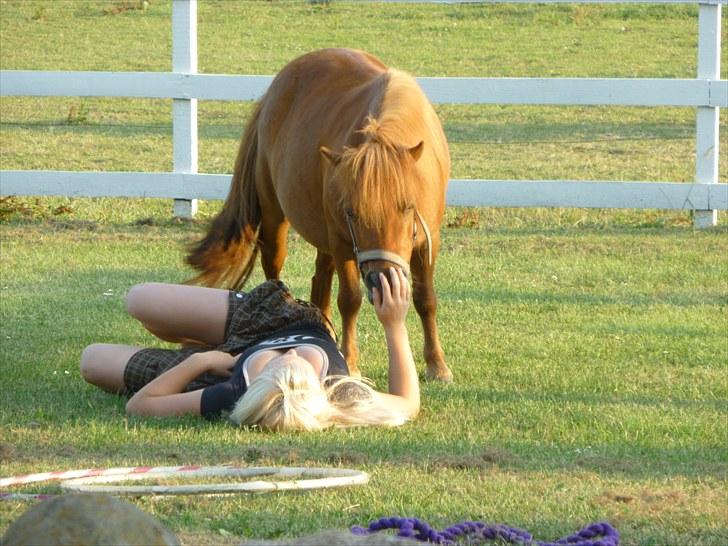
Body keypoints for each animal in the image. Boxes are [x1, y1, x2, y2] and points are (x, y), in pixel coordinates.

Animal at [187, 48, 452, 381]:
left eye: (407, 206)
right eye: (352, 212)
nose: (382, 280)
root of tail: (274, 90)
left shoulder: (429, 242)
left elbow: (425, 298)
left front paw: (437, 364)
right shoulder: (342, 242)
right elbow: (350, 300)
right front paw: (350, 361)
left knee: (320, 280)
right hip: (276, 220)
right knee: (275, 270)